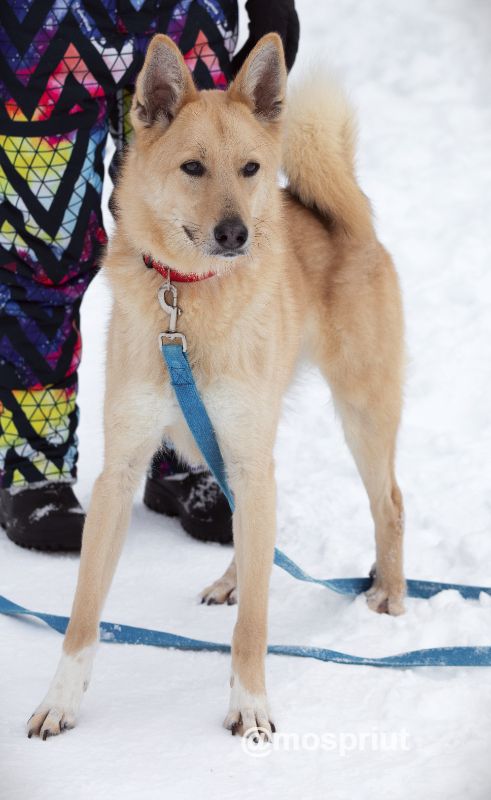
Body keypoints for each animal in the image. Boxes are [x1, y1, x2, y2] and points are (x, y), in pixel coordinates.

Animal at [28, 32, 410, 744]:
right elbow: (84, 610)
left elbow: (254, 624)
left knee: (390, 505)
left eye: (251, 168)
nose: (236, 233)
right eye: (193, 168)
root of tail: (345, 216)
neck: (188, 295)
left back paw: (391, 596)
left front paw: (250, 706)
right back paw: (235, 578)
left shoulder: (253, 458)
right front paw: (60, 700)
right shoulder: (120, 472)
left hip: (360, 413)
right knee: (250, 524)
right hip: (243, 441)